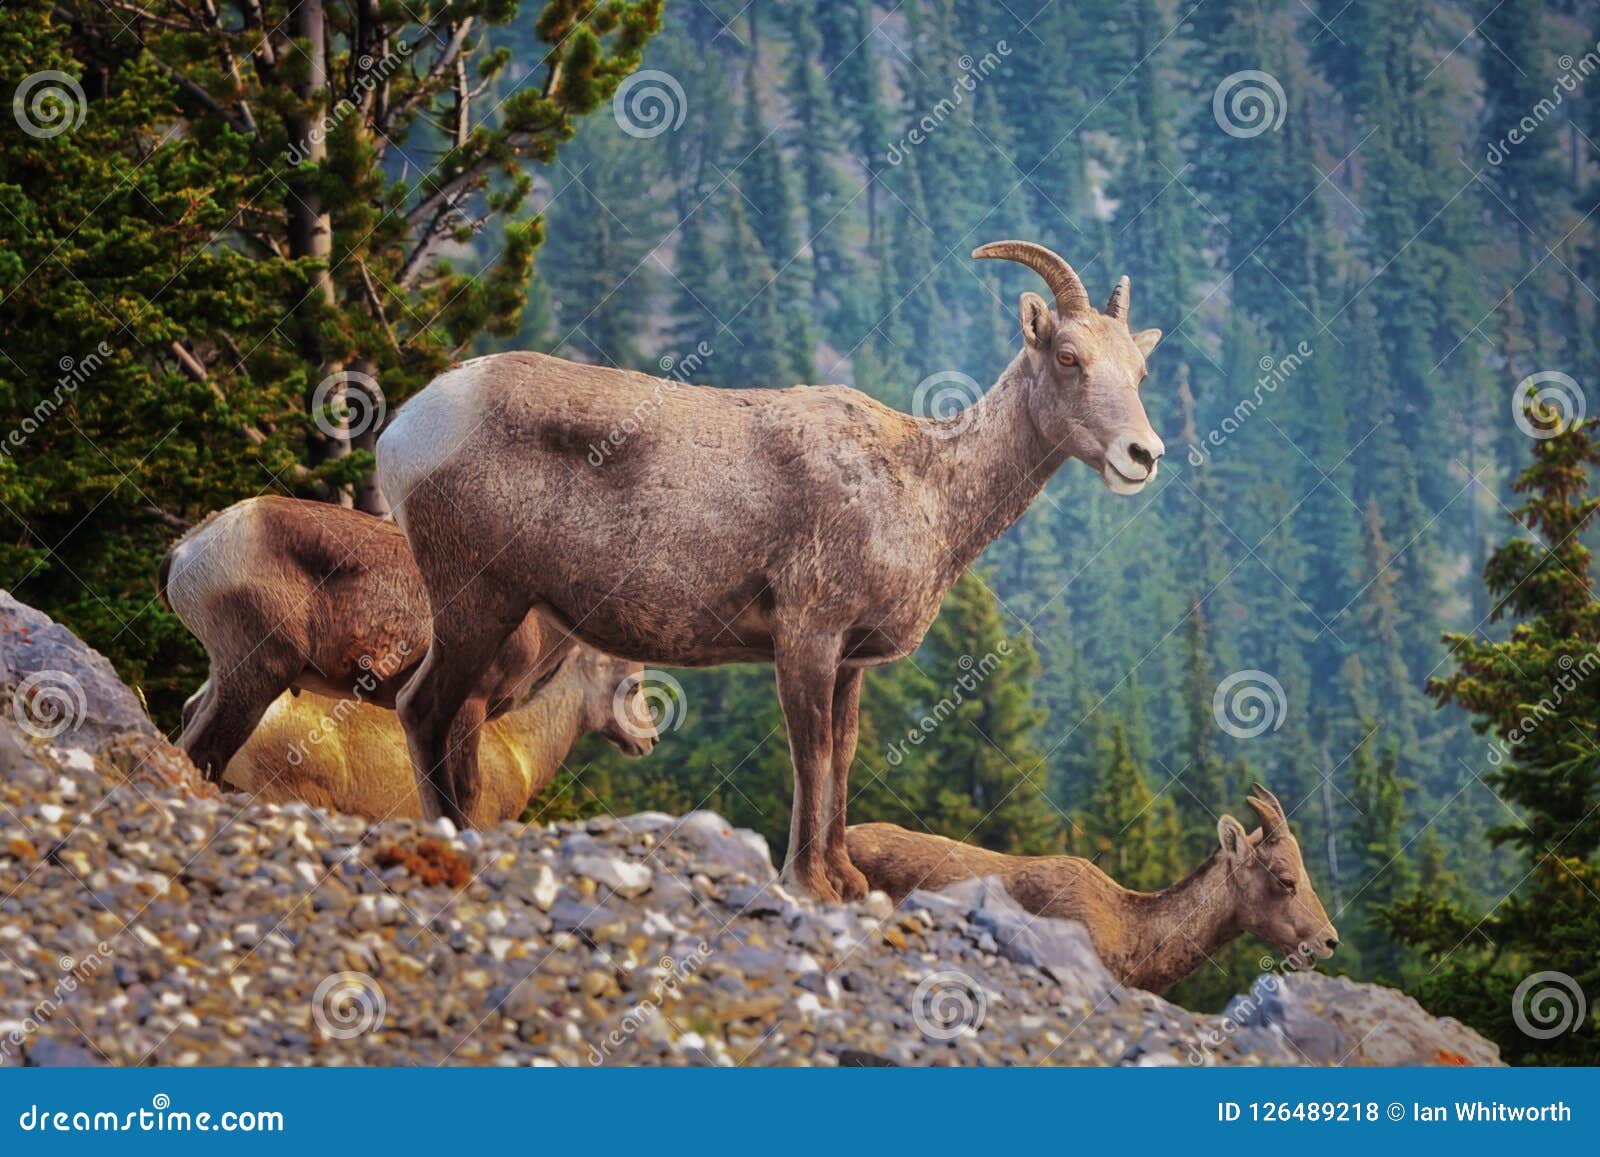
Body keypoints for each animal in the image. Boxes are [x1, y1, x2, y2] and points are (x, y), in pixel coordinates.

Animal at [380, 236, 1171, 902]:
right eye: (1066, 356)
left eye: (1139, 370)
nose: (1144, 455)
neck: (924, 487)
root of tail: (403, 431)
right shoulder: (806, 638)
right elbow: (810, 755)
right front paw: (810, 882)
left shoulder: (849, 661)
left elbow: (843, 757)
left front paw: (847, 881)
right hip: (475, 602)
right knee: (423, 709)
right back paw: (451, 836)